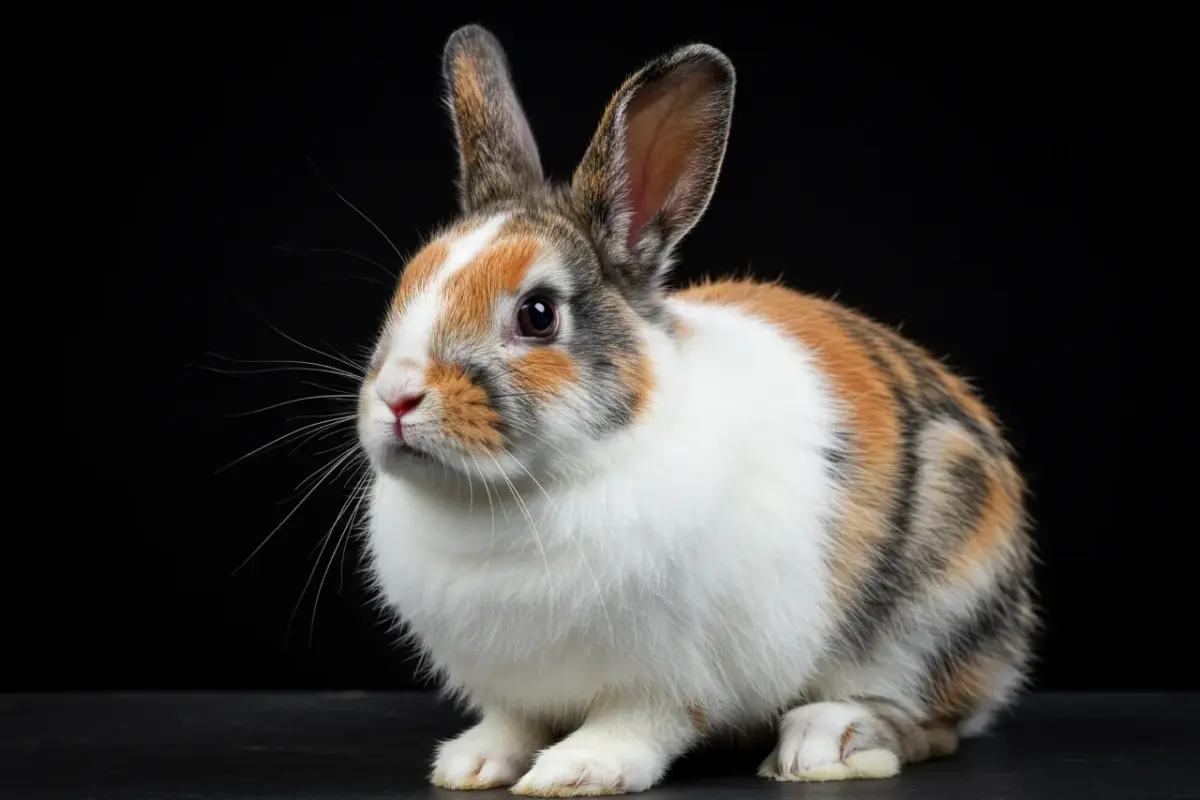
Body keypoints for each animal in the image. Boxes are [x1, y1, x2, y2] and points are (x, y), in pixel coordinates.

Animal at [356, 24, 1037, 797]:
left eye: (537, 314)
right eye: (407, 286)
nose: (398, 396)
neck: (510, 498)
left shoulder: (673, 678)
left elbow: (640, 722)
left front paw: (577, 770)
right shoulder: (516, 687)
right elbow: (514, 720)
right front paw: (470, 764)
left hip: (934, 606)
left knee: (927, 719)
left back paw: (819, 746)